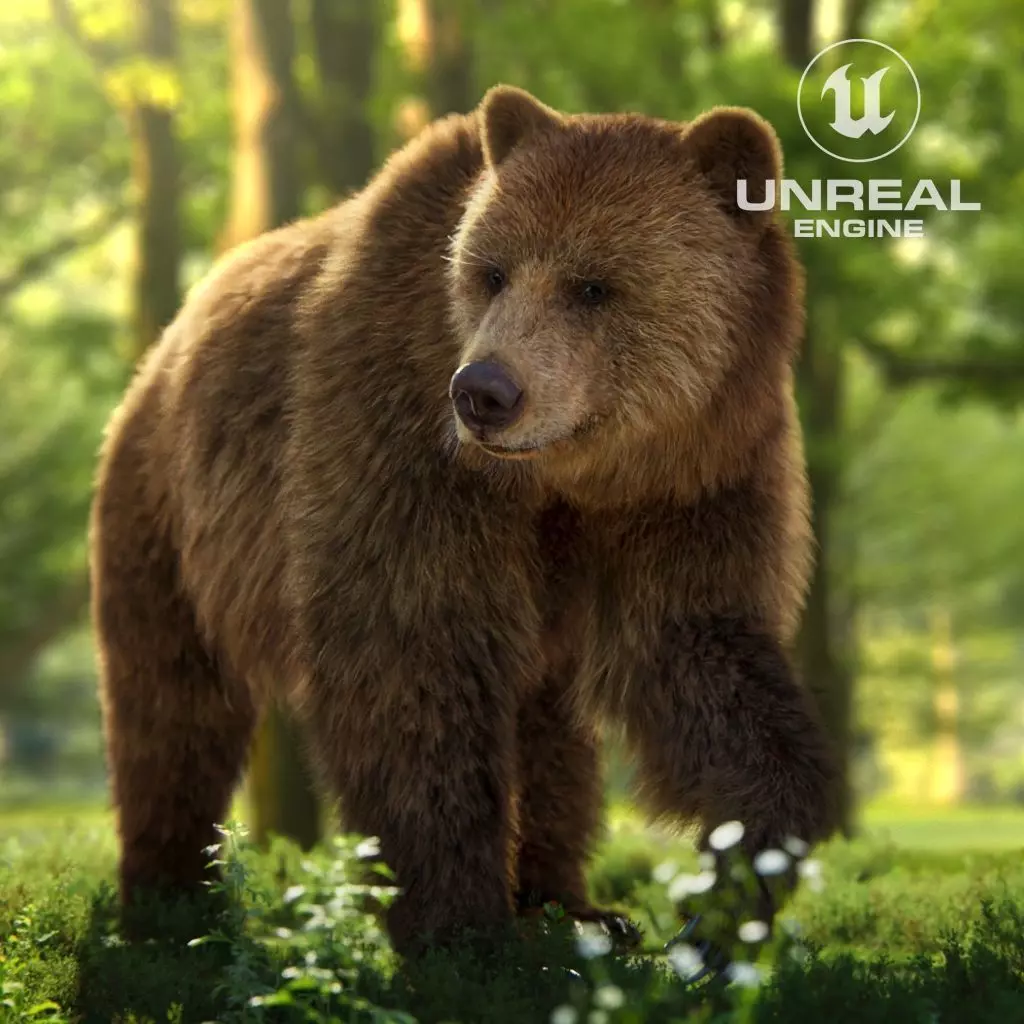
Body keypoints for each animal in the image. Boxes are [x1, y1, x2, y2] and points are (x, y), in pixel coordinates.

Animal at [89, 84, 840, 955]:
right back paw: (168, 900)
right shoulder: (401, 449)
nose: (486, 391)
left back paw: (568, 902)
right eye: (491, 273)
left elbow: (698, 649)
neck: (566, 478)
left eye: (593, 286)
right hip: (168, 513)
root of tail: (163, 345)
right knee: (171, 705)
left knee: (549, 726)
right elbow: (412, 660)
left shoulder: (694, 481)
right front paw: (459, 926)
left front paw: (734, 887)